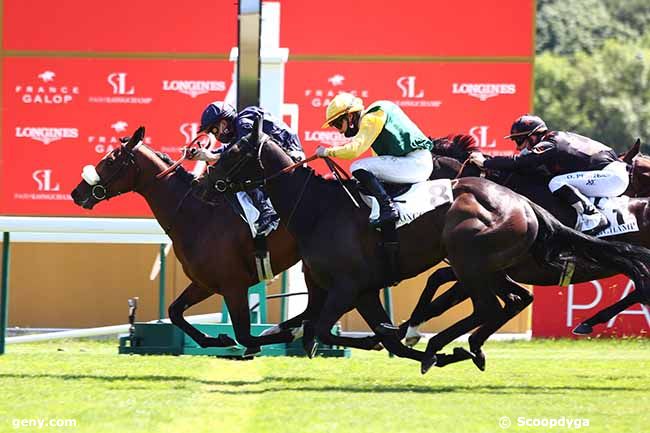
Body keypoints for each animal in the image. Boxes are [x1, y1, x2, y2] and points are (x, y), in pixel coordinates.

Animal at [70, 127, 382, 354]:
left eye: (110, 160)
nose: (77, 192)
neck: (195, 212)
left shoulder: (233, 285)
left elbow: (245, 335)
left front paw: (248, 340)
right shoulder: (205, 282)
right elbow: (175, 312)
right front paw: (216, 340)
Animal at [210, 120, 648, 372]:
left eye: (234, 152)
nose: (204, 183)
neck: (317, 208)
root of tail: (525, 205)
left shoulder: (347, 287)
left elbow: (319, 330)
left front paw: (412, 338)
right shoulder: (352, 289)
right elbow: (312, 329)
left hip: (472, 261)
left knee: (491, 306)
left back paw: (450, 344)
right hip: (483, 266)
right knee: (511, 301)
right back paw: (465, 347)